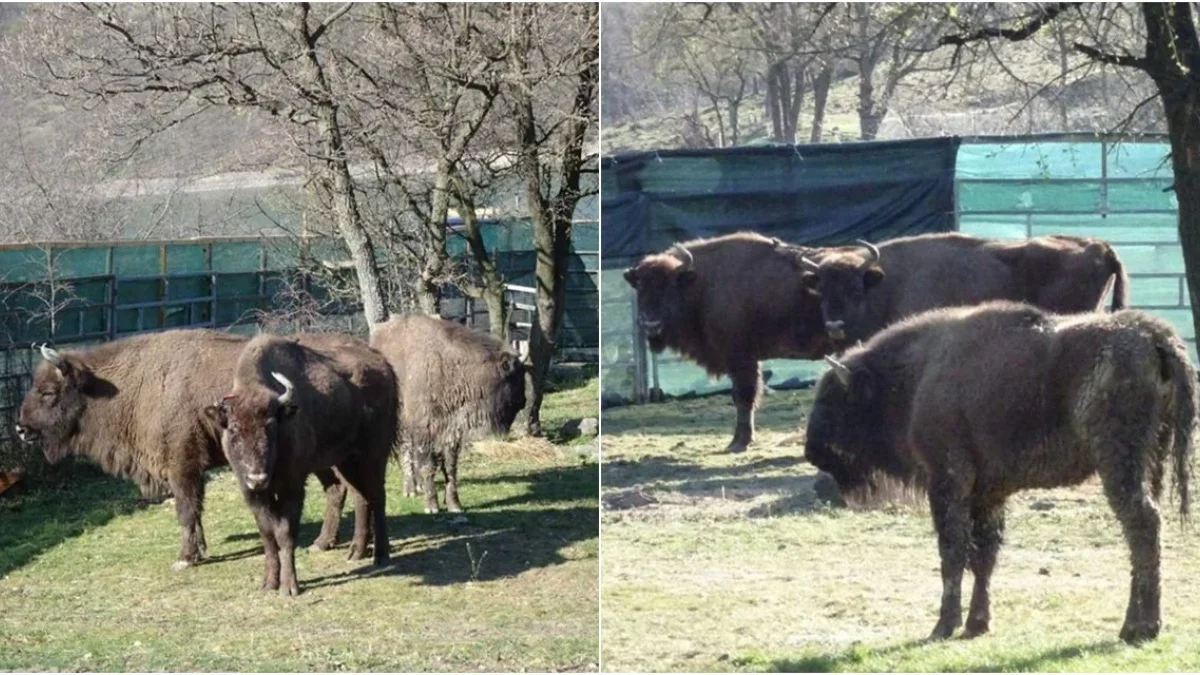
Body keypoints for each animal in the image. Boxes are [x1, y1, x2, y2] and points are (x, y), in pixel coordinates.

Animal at [204, 331, 396, 593]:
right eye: (233, 428)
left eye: (271, 426)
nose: (257, 477)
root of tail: (383, 364)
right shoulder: (252, 493)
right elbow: (267, 534)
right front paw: (268, 583)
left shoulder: (292, 486)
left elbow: (285, 533)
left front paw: (289, 587)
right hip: (346, 460)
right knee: (361, 497)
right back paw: (355, 551)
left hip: (374, 455)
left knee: (377, 497)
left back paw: (381, 555)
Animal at [364, 314, 525, 509]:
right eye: (514, 376)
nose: (523, 401)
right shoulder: (424, 430)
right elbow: (428, 465)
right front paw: (432, 506)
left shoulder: (451, 430)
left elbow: (450, 467)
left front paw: (454, 504)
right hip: (402, 423)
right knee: (407, 451)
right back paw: (410, 489)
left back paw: (418, 486)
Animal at [628, 230, 835, 451]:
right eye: (640, 286)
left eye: (671, 285)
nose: (651, 324)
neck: (702, 283)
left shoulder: (742, 358)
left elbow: (744, 396)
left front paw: (739, 443)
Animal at [806, 302, 1190, 643]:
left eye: (832, 400)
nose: (811, 451)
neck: (917, 375)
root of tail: (1153, 335)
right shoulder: (988, 494)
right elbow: (984, 555)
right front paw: (977, 624)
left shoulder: (948, 483)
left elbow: (953, 552)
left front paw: (943, 626)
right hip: (1152, 460)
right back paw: (1137, 626)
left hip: (1118, 462)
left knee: (1142, 524)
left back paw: (1140, 627)